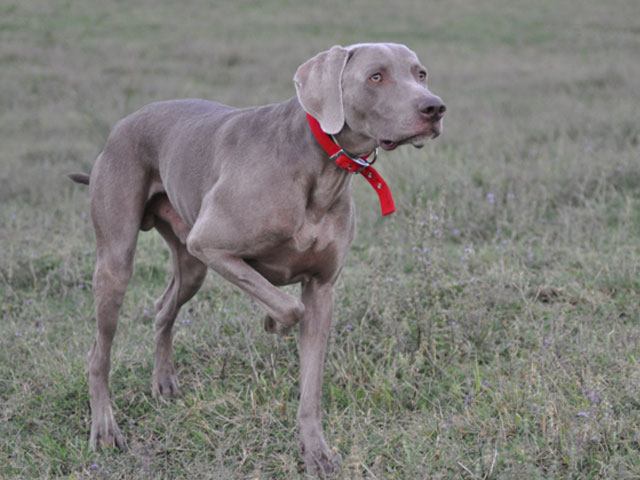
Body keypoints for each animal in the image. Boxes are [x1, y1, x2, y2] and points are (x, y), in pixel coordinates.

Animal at [67, 42, 442, 476]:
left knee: (163, 308)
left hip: (190, 265)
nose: (435, 108)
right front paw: (272, 321)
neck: (320, 170)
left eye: (420, 74)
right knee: (98, 352)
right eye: (376, 77)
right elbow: (288, 306)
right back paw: (104, 430)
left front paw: (316, 451)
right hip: (119, 258)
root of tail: (122, 125)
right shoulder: (210, 244)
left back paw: (163, 382)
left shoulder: (322, 288)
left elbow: (311, 381)